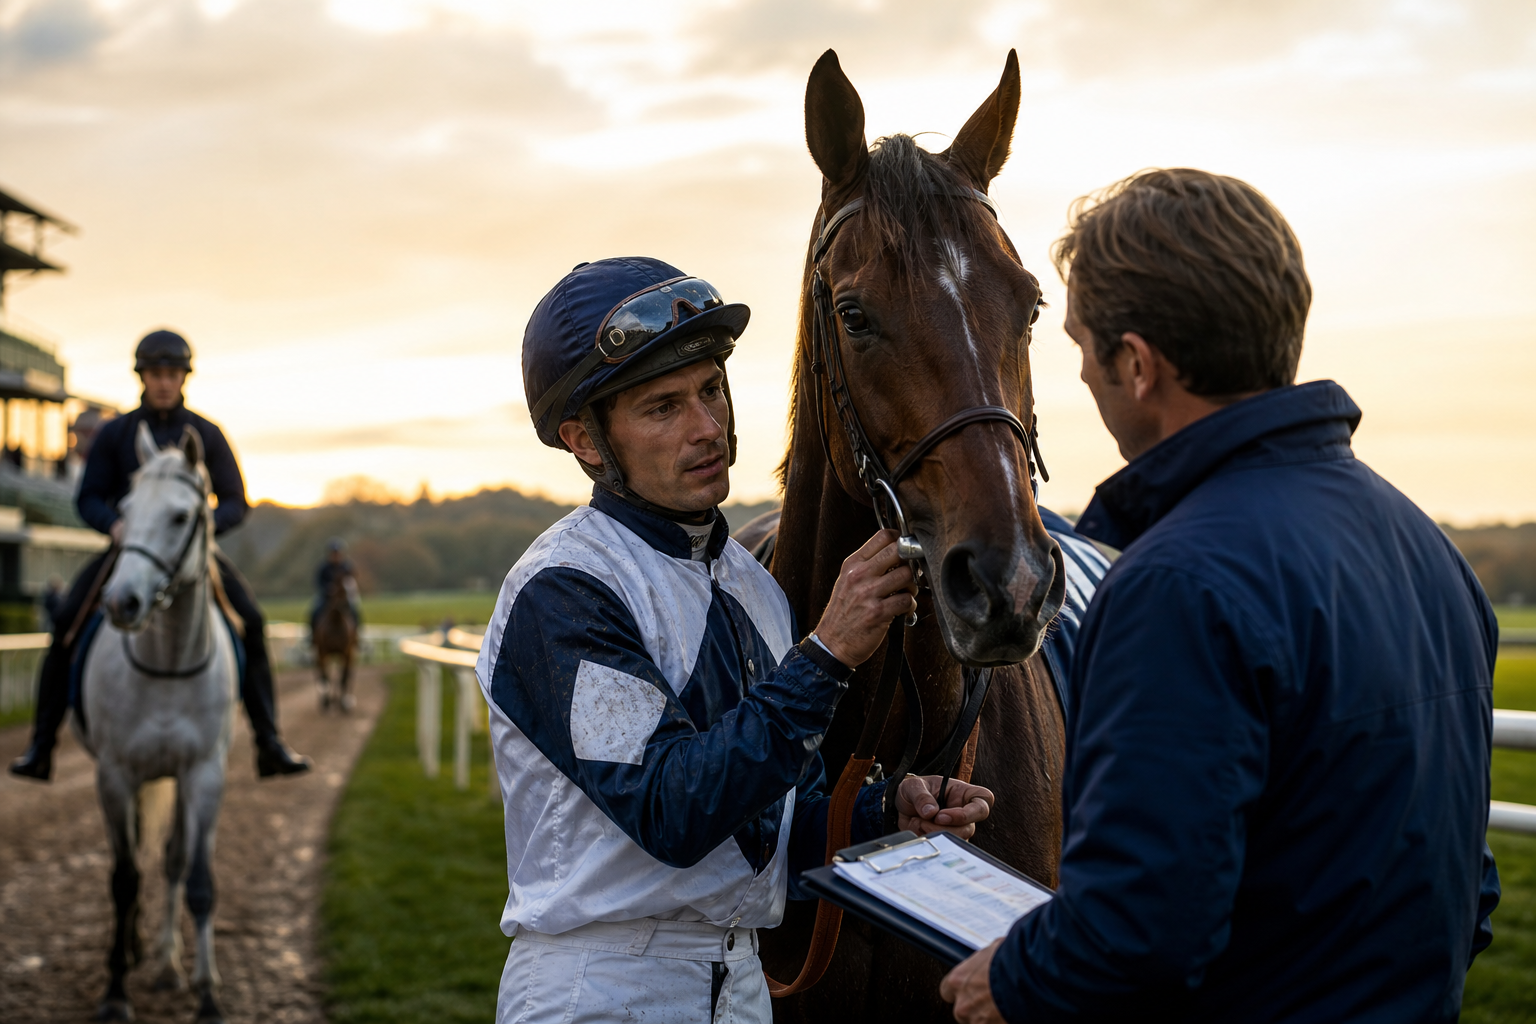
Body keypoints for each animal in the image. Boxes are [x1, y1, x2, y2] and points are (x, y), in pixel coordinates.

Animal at [78, 422, 239, 1024]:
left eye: (179, 515)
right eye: (125, 509)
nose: (122, 602)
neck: (167, 663)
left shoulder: (204, 775)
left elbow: (197, 880)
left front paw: (207, 993)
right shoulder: (114, 775)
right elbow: (124, 880)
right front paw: (115, 992)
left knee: (170, 861)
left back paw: (168, 963)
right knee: (131, 862)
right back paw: (133, 949)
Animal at [312, 575, 357, 712]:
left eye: (353, 587)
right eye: (341, 589)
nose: (347, 606)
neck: (336, 622)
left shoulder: (347, 652)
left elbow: (344, 677)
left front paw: (344, 703)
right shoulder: (322, 652)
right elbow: (325, 677)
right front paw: (326, 702)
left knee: (346, 675)